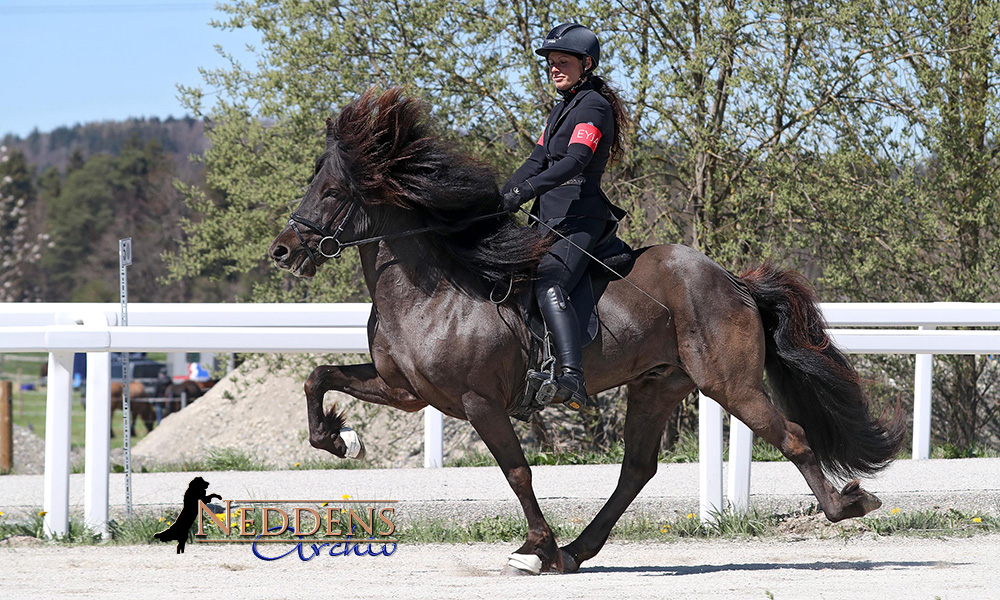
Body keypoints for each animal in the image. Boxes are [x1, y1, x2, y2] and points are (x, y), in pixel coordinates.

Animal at [270, 86, 904, 576]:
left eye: (332, 192)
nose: (282, 252)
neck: (432, 291)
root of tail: (734, 281)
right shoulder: (406, 392)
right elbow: (317, 375)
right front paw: (340, 439)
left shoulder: (479, 402)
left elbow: (518, 472)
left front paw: (535, 548)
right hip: (658, 385)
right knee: (636, 470)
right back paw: (578, 551)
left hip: (730, 384)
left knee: (791, 436)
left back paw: (849, 505)